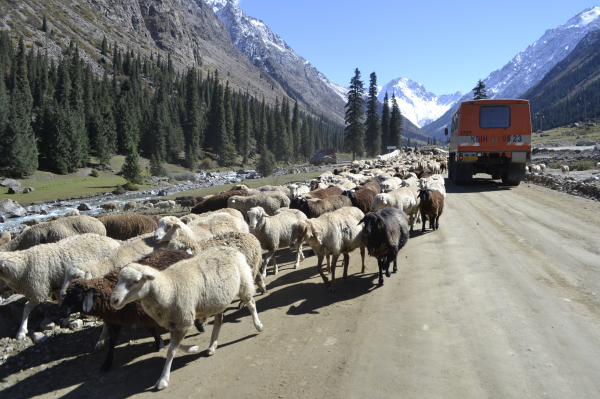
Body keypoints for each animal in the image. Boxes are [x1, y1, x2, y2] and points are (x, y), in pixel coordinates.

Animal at [110, 247, 264, 390]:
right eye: (118, 280)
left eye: (136, 281)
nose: (113, 300)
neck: (168, 287)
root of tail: (231, 248)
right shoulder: (173, 322)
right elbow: (175, 345)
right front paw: (193, 348)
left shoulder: (183, 320)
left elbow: (171, 351)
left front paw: (163, 380)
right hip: (218, 299)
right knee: (219, 321)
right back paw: (212, 346)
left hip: (244, 284)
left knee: (251, 304)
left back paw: (258, 325)